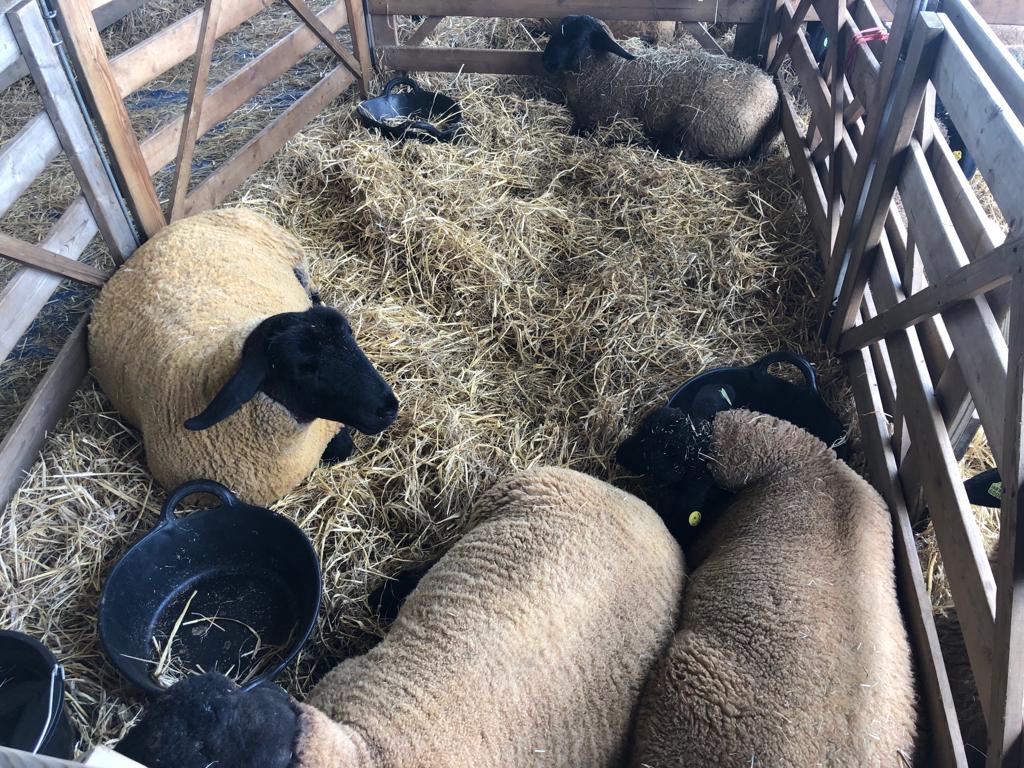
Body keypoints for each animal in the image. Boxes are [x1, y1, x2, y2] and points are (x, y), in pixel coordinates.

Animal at [542, 16, 780, 162]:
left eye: (577, 38)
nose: (547, 62)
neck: (608, 69)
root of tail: (772, 100)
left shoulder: (606, 119)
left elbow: (581, 131)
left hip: (699, 125)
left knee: (680, 153)